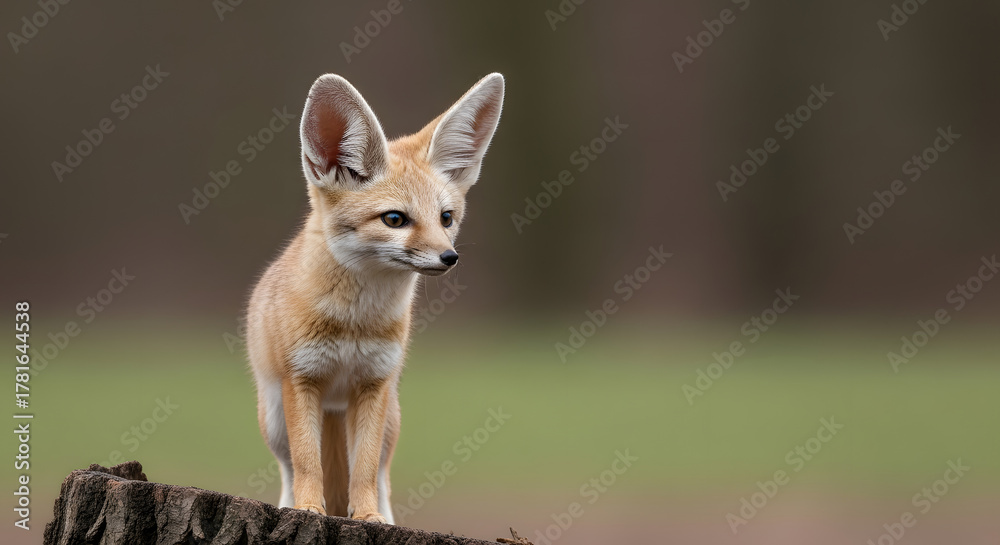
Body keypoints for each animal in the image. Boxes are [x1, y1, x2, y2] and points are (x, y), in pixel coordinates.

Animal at [245, 72, 504, 523]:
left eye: (446, 218)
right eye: (395, 219)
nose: (449, 258)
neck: (354, 322)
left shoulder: (374, 383)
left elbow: (363, 470)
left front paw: (367, 518)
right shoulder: (302, 380)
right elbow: (308, 465)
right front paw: (309, 510)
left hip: (389, 423)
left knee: (380, 472)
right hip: (275, 420)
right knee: (289, 468)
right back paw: (289, 504)